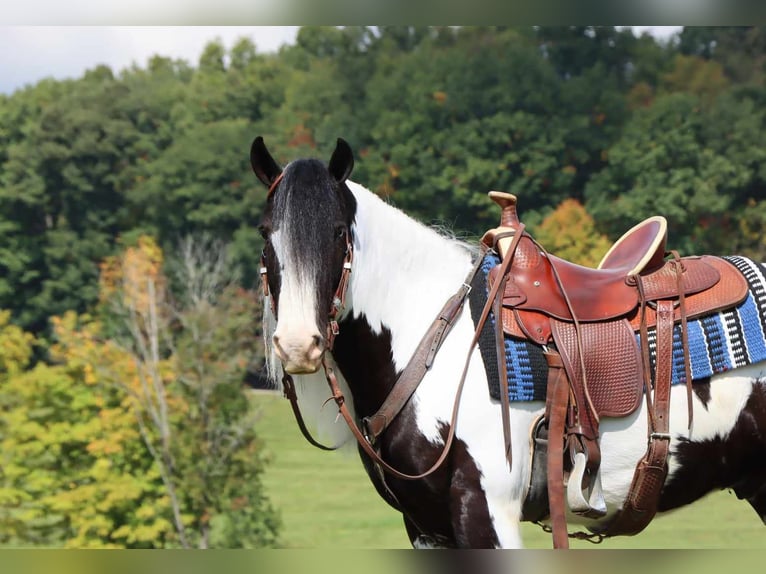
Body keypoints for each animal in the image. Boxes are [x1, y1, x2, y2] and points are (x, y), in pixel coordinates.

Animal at [254, 137, 766, 552]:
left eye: (339, 232)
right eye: (265, 234)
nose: (298, 345)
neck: (432, 341)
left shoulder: (485, 511)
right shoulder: (426, 526)